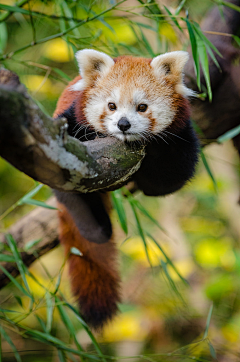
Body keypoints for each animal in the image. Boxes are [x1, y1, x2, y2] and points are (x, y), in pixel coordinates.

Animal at [53, 49, 200, 330]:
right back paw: (97, 226)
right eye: (111, 105)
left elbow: (167, 181)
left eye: (142, 107)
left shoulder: (181, 138)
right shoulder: (71, 121)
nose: (123, 124)